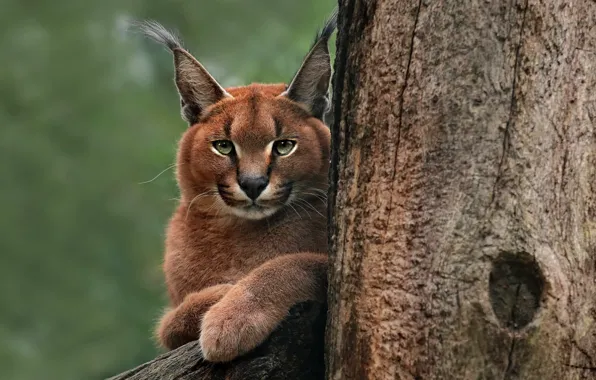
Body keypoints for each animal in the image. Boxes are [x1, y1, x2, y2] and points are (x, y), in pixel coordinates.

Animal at [137, 7, 338, 360]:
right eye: (223, 146)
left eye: (284, 146)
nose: (253, 183)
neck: (238, 232)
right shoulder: (169, 322)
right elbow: (171, 322)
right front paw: (221, 294)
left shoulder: (329, 264)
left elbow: (291, 263)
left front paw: (231, 317)